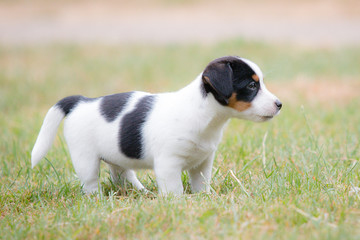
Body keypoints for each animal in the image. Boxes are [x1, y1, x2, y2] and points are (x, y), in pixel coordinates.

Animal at [31, 55, 282, 195]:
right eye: (251, 86)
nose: (279, 104)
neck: (204, 115)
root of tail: (81, 101)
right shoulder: (169, 164)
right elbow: (175, 190)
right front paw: (177, 204)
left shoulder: (203, 163)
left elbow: (201, 185)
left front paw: (205, 198)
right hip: (86, 159)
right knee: (91, 182)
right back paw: (97, 199)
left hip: (116, 157)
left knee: (123, 175)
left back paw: (140, 191)